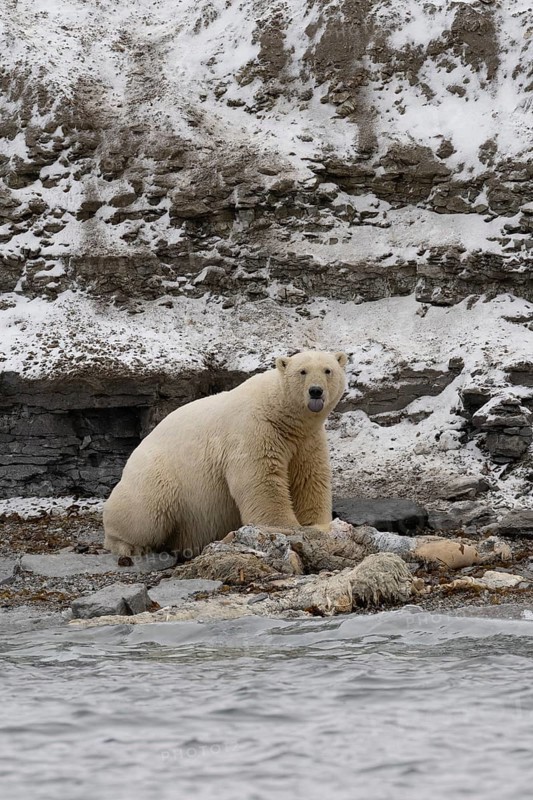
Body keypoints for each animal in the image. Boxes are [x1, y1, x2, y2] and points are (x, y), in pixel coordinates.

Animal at [103, 350, 348, 557]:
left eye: (328, 370)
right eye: (302, 371)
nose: (315, 391)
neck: (280, 414)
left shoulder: (307, 439)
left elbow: (309, 477)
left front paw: (318, 525)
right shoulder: (254, 430)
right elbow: (261, 478)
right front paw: (285, 526)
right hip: (158, 476)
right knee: (145, 514)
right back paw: (128, 545)